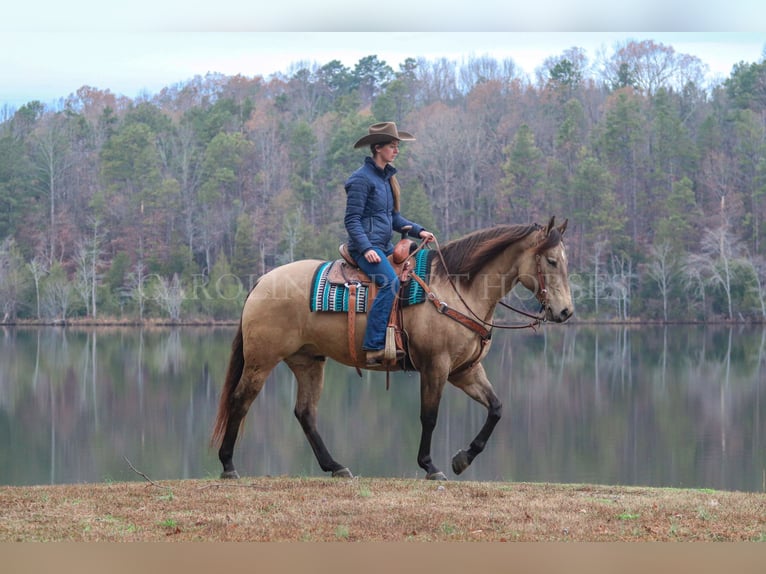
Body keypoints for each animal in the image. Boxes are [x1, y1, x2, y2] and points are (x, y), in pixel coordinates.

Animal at [213, 216, 572, 482]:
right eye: (552, 261)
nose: (566, 312)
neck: (454, 289)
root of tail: (262, 282)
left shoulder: (465, 371)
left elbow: (496, 408)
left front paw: (463, 459)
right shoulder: (435, 366)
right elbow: (429, 416)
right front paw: (430, 465)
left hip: (308, 360)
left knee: (305, 413)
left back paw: (335, 466)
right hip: (262, 360)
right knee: (241, 400)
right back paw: (228, 465)